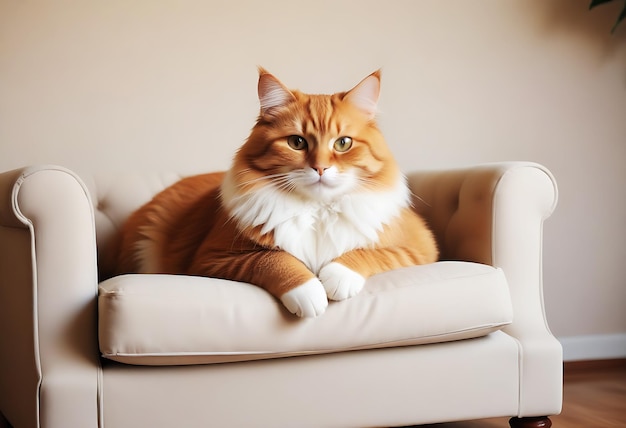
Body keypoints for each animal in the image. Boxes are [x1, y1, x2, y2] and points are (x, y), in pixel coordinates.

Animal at [114, 68, 436, 318]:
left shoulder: (418, 246)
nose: (320, 168)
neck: (316, 210)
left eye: (343, 143)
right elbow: (274, 260)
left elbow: (367, 254)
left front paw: (337, 277)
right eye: (297, 142)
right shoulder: (212, 258)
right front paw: (310, 292)